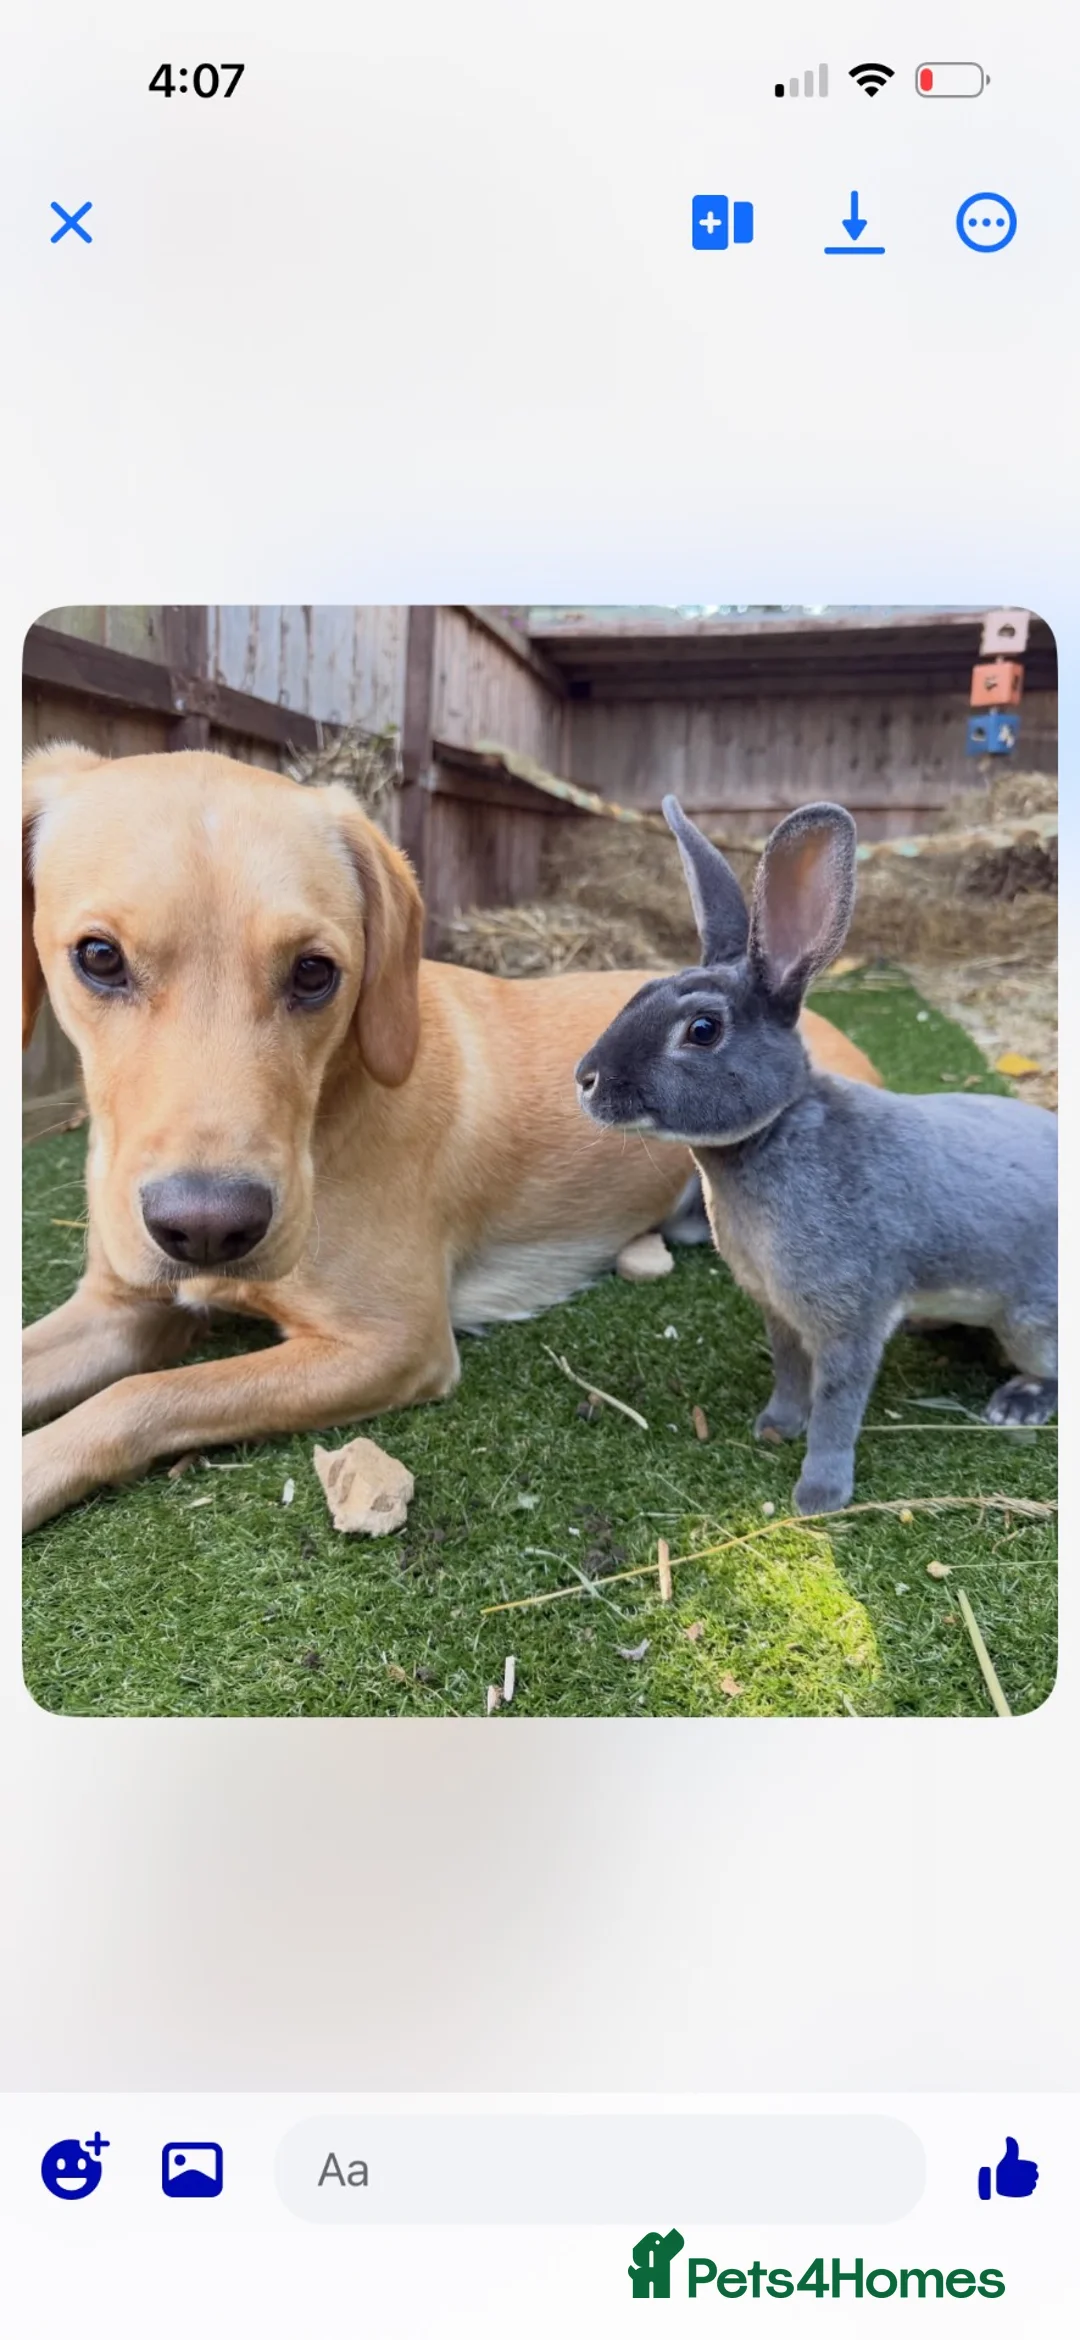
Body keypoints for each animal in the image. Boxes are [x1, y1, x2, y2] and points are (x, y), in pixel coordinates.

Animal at [574, 795, 1057, 1516]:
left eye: (703, 1030)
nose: (586, 1079)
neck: (774, 1132)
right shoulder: (779, 1309)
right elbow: (788, 1371)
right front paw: (775, 1426)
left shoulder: (848, 1320)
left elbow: (837, 1404)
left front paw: (819, 1494)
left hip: (1033, 1322)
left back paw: (1017, 1404)